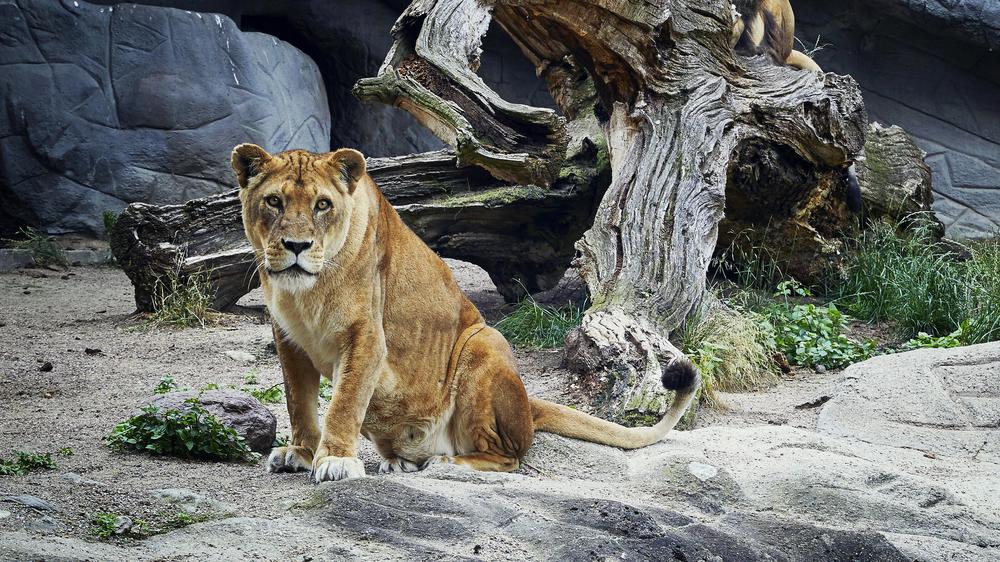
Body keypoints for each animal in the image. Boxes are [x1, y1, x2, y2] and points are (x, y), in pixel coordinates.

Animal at [231, 144, 700, 482]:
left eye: (322, 205)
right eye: (274, 201)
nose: (296, 246)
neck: (304, 294)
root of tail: (528, 404)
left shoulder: (367, 335)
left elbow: (343, 403)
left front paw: (336, 462)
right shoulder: (288, 339)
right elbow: (299, 402)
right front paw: (301, 454)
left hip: (483, 341)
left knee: (508, 458)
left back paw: (446, 464)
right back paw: (400, 460)